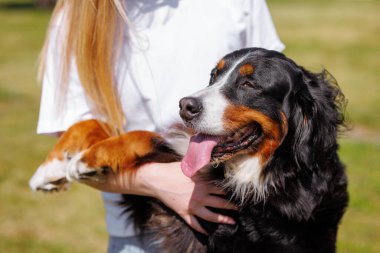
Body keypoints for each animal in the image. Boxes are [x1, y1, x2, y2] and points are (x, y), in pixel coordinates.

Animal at [31, 48, 348, 253]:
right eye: (213, 76)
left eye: (249, 83)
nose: (186, 105)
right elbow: (121, 129)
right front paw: (52, 168)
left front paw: (86, 159)